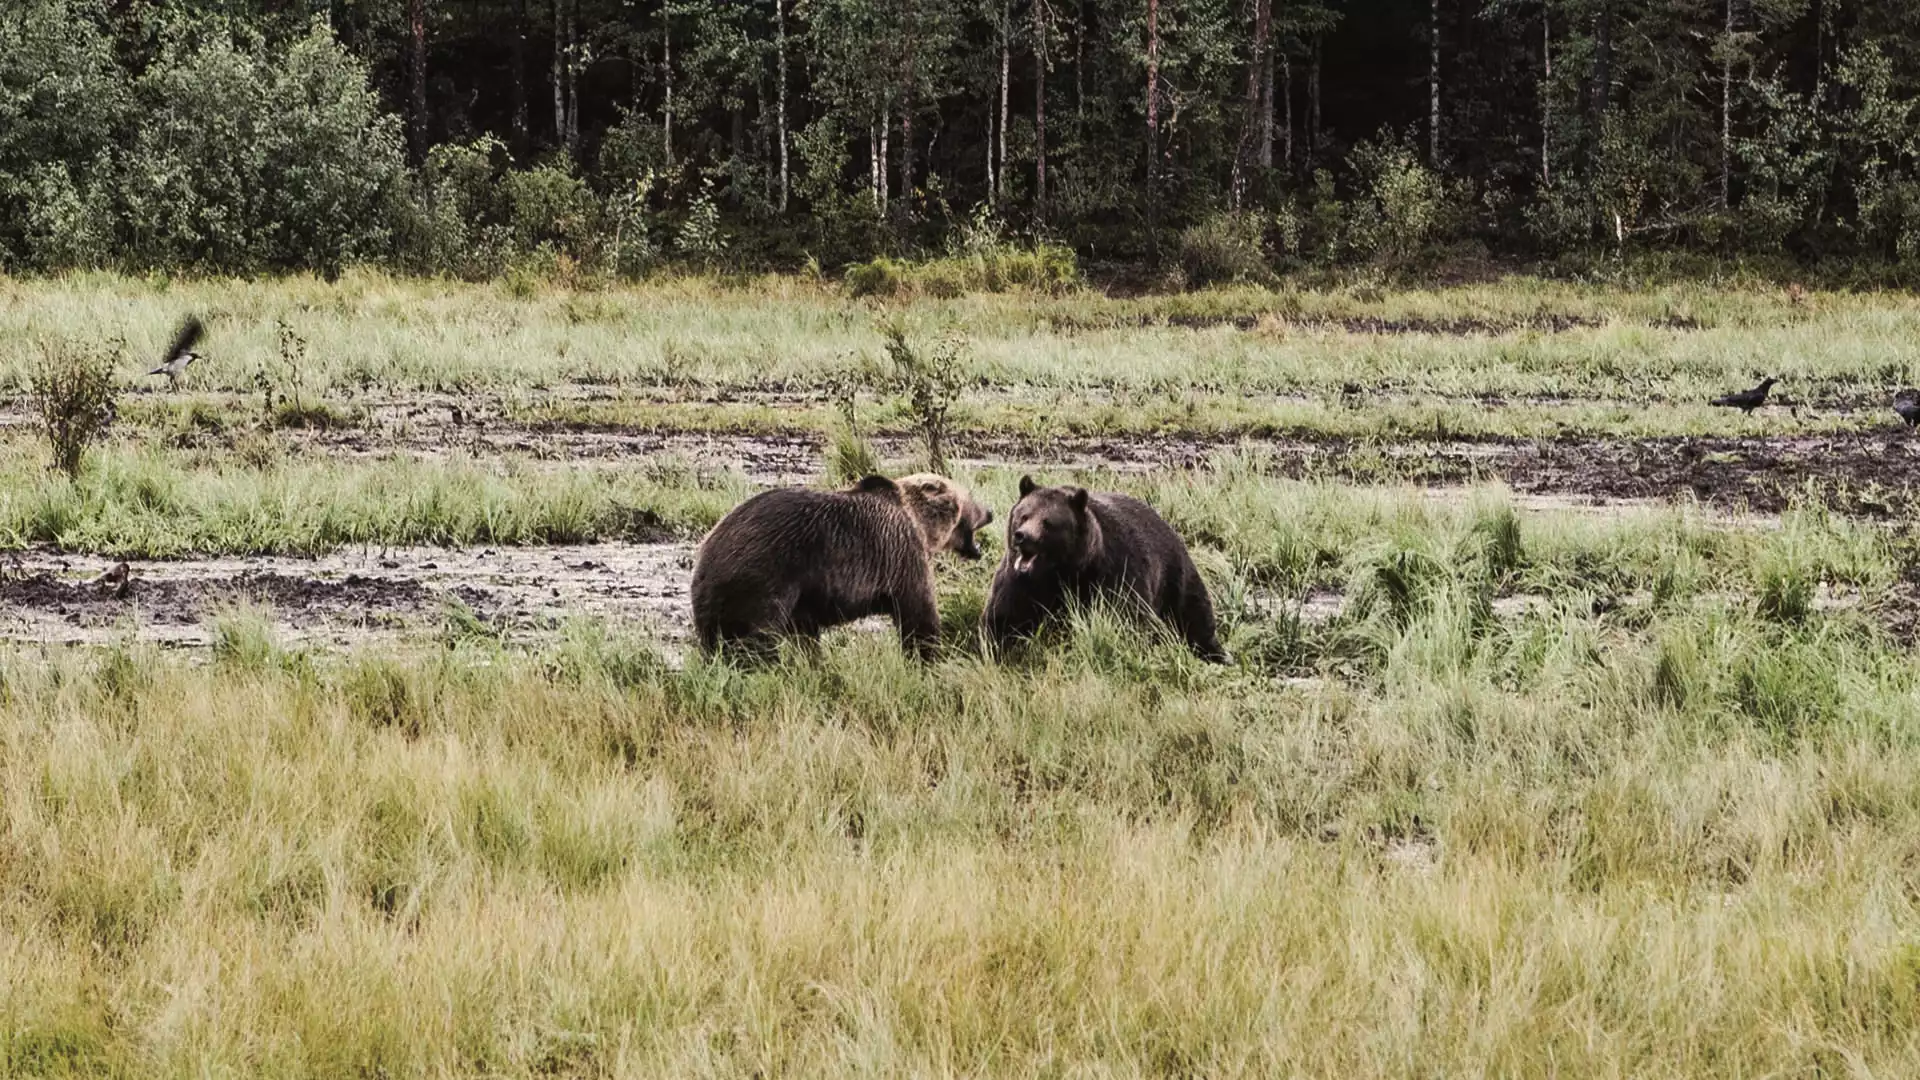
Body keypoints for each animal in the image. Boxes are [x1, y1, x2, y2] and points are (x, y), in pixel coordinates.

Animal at [691, 472, 990, 661]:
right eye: (970, 498)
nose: (990, 511)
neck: (921, 524)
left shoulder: (806, 597)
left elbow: (805, 633)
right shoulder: (900, 551)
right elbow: (918, 613)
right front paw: (927, 656)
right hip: (761, 577)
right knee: (757, 637)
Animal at [983, 474, 1221, 661]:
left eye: (1047, 523)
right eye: (1024, 515)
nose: (1022, 536)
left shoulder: (1114, 575)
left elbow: (1127, 620)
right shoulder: (1020, 584)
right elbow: (1004, 618)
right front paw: (998, 649)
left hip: (1174, 576)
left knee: (1194, 616)